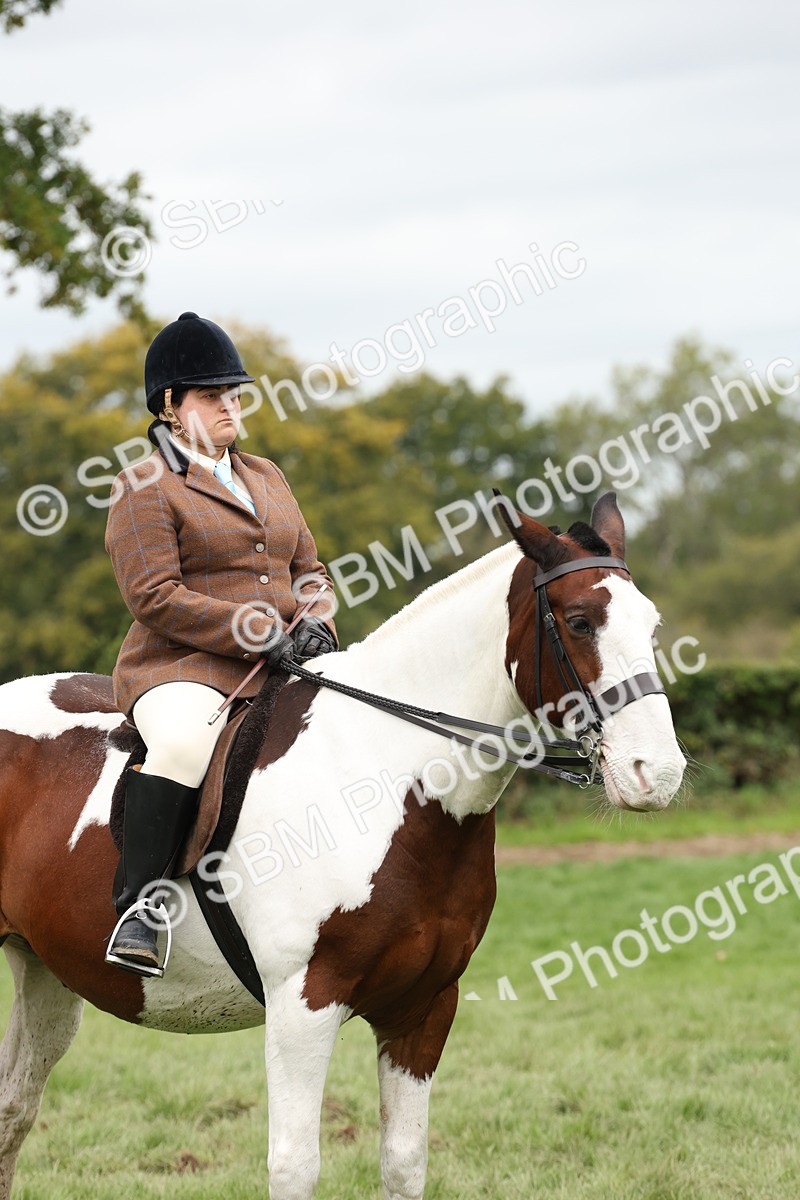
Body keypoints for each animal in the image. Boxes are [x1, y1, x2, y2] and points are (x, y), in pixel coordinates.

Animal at [0, 493, 685, 1199]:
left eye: (652, 626)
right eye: (579, 622)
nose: (657, 773)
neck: (386, 776)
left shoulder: (424, 1009)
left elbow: (404, 1162)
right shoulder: (304, 1006)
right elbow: (295, 1165)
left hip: (46, 970)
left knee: (14, 1111)